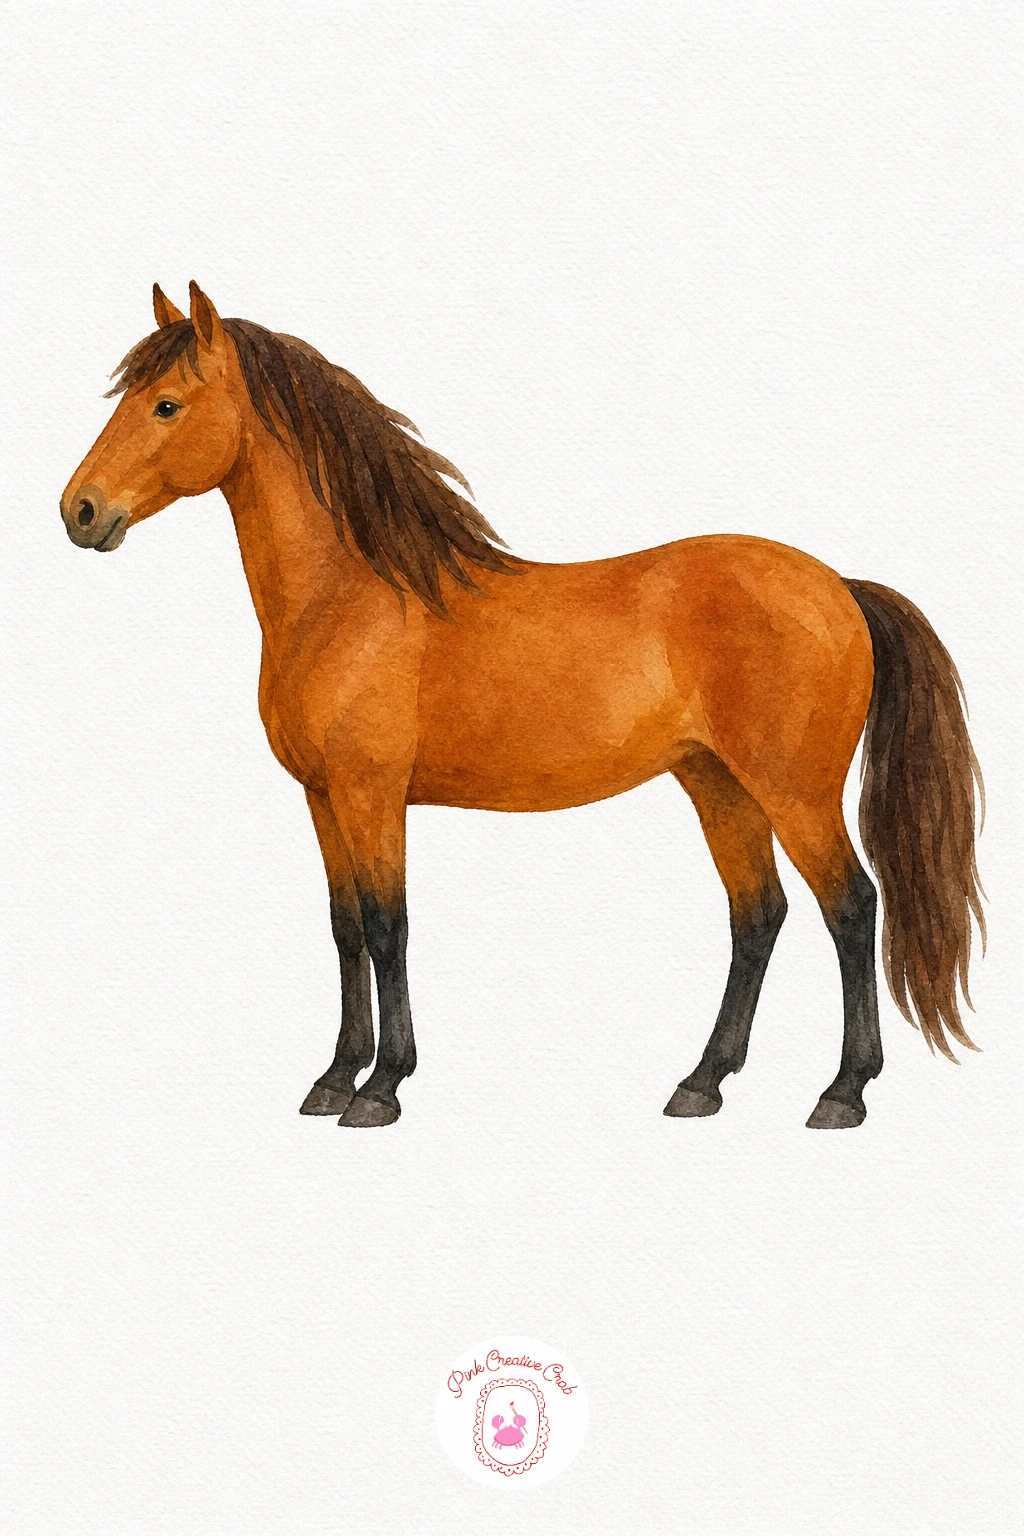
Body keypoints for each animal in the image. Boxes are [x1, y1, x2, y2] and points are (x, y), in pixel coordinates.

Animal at [60, 282, 984, 1130]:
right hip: (717, 786)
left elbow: (388, 925)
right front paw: (332, 1078)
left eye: (167, 403)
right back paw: (701, 1083)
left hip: (793, 793)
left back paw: (842, 1092)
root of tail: (840, 587)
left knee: (852, 909)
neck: (350, 596)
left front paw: (381, 1088)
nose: (80, 511)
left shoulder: (371, 795)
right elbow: (344, 927)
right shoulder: (323, 799)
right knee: (758, 916)